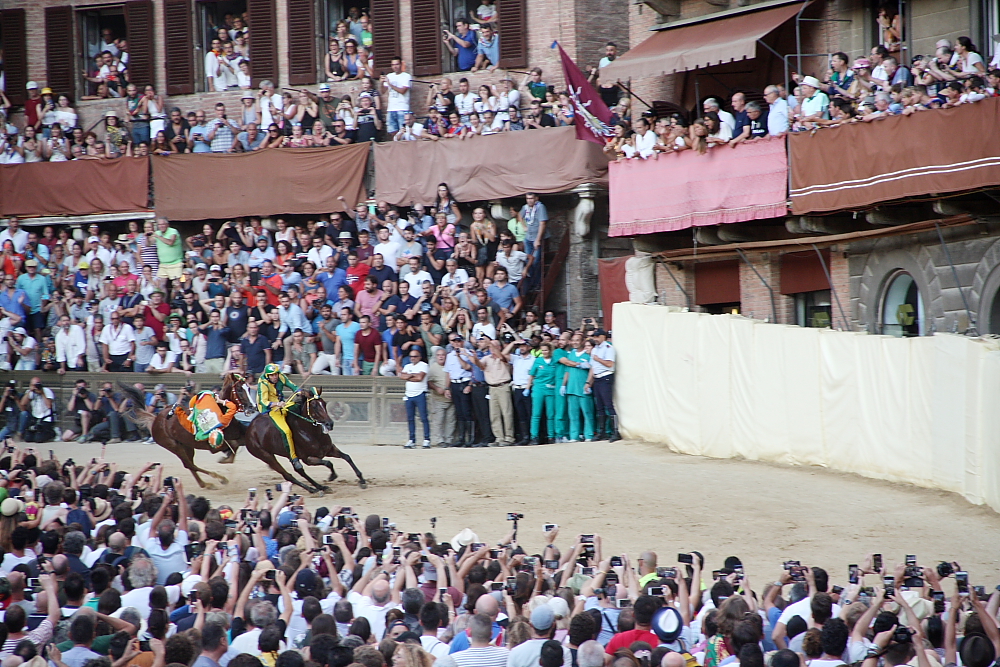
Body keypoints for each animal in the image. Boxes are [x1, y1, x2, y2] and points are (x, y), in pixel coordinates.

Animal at [118, 376, 258, 490]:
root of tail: (156, 419)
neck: (220, 411)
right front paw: (224, 460)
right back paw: (218, 479)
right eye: (239, 389)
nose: (252, 407)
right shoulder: (216, 444)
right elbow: (233, 447)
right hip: (174, 446)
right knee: (189, 464)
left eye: (248, 388)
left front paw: (226, 458)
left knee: (191, 465)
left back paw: (205, 484)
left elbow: (237, 447)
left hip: (187, 446)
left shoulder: (240, 435)